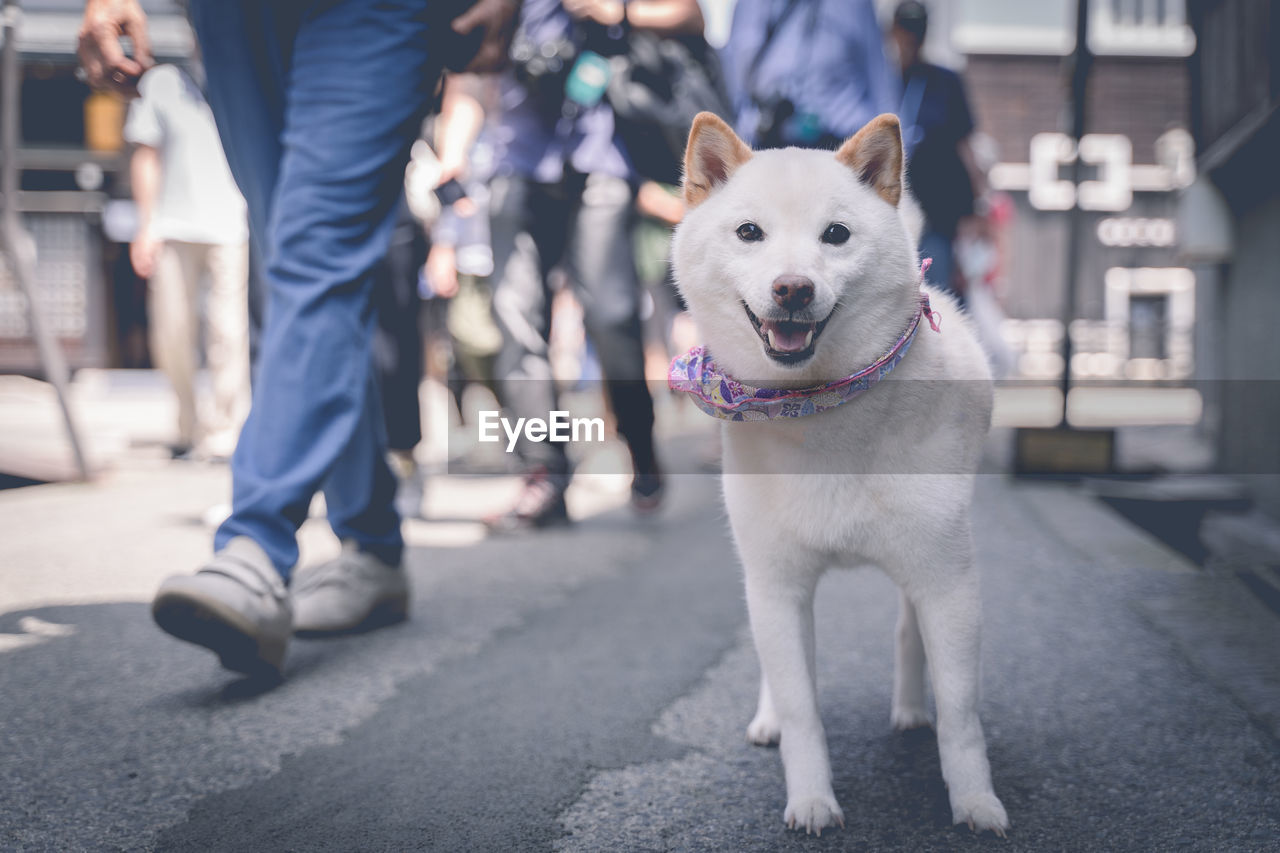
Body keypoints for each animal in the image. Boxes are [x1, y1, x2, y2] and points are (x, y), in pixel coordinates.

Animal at [670, 109, 1008, 835]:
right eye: (749, 232)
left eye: (836, 234)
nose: (792, 288)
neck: (820, 409)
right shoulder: (777, 582)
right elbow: (802, 707)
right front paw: (811, 799)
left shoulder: (949, 581)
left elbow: (961, 714)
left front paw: (974, 800)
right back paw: (769, 716)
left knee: (907, 629)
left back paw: (910, 709)